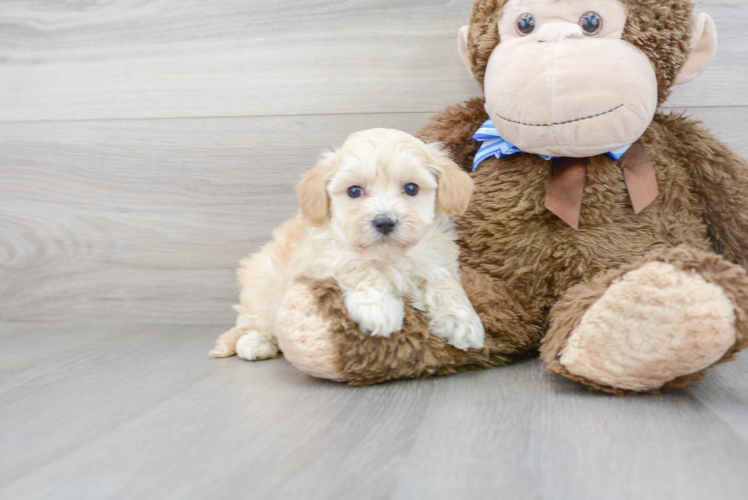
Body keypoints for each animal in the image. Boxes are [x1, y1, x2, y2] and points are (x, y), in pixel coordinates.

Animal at [209, 128, 486, 364]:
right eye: (354, 191)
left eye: (411, 188)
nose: (384, 222)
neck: (387, 255)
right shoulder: (321, 259)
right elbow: (357, 267)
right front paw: (379, 308)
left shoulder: (434, 259)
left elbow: (444, 282)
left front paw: (463, 320)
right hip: (263, 283)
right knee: (252, 322)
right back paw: (256, 342)